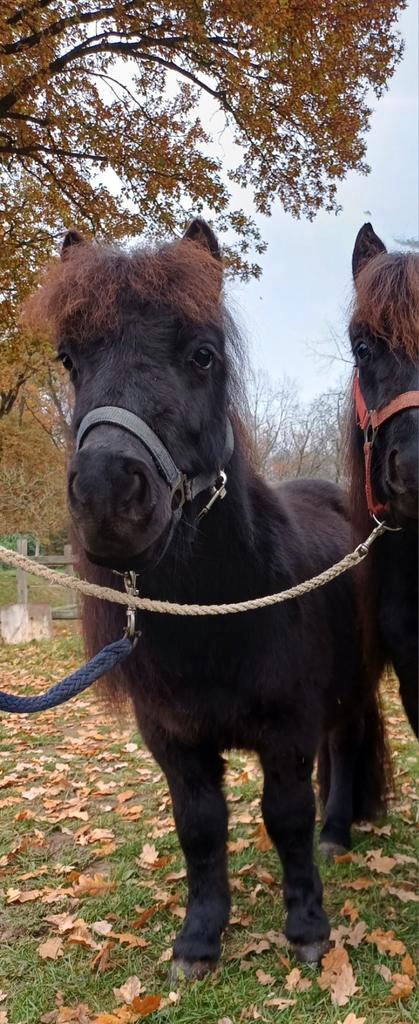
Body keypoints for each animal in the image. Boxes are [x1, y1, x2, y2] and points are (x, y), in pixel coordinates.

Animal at [24, 219, 390, 976]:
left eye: (202, 355)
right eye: (70, 359)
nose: (107, 494)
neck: (216, 617)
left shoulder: (286, 731)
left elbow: (285, 820)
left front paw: (306, 927)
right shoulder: (174, 741)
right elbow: (199, 829)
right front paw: (198, 939)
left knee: (346, 744)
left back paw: (338, 830)